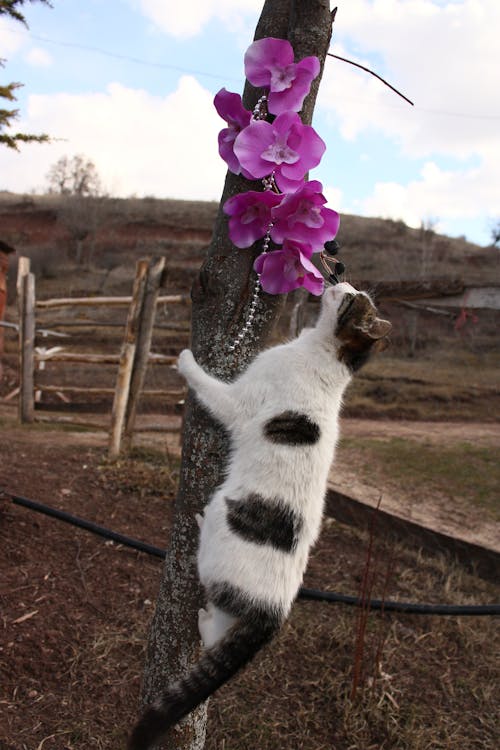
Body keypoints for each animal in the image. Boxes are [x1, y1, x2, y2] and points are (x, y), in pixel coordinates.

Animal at [128, 284, 390, 750]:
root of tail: (276, 612)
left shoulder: (239, 402)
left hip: (218, 526)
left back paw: (199, 538)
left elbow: (210, 385)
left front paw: (186, 359)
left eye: (351, 299)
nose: (338, 283)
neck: (325, 358)